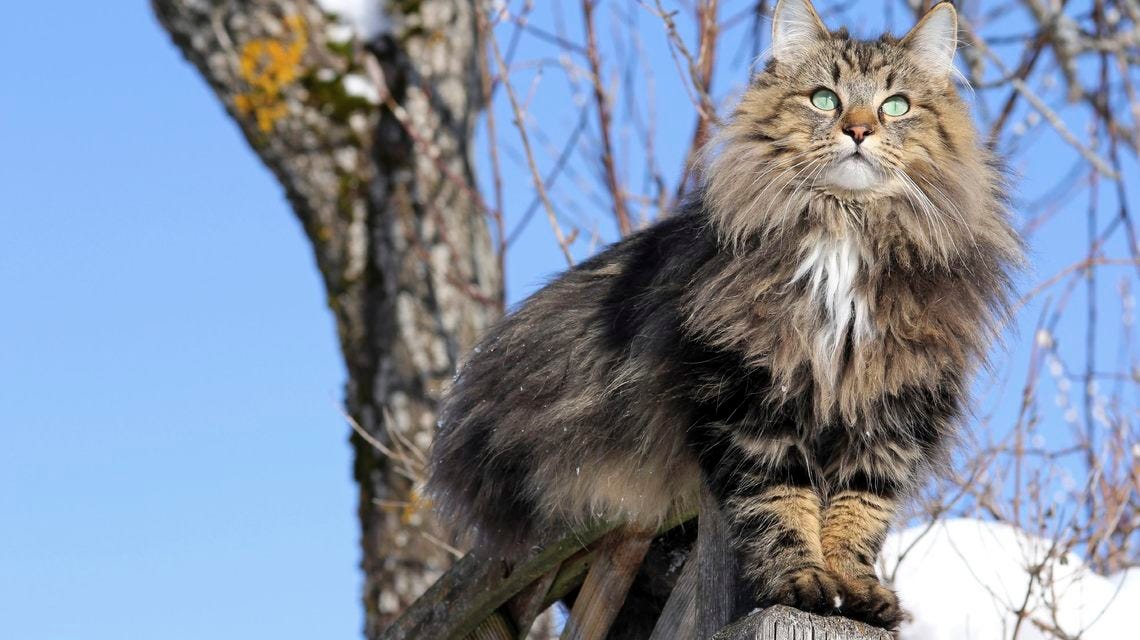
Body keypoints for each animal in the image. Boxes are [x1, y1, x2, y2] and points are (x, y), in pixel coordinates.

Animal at [428, 0, 1026, 629]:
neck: (845, 228)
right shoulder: (750, 399)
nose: (860, 129)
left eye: (896, 106)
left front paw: (858, 592)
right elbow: (781, 506)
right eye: (824, 99)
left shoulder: (889, 413)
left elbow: (859, 514)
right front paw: (802, 582)